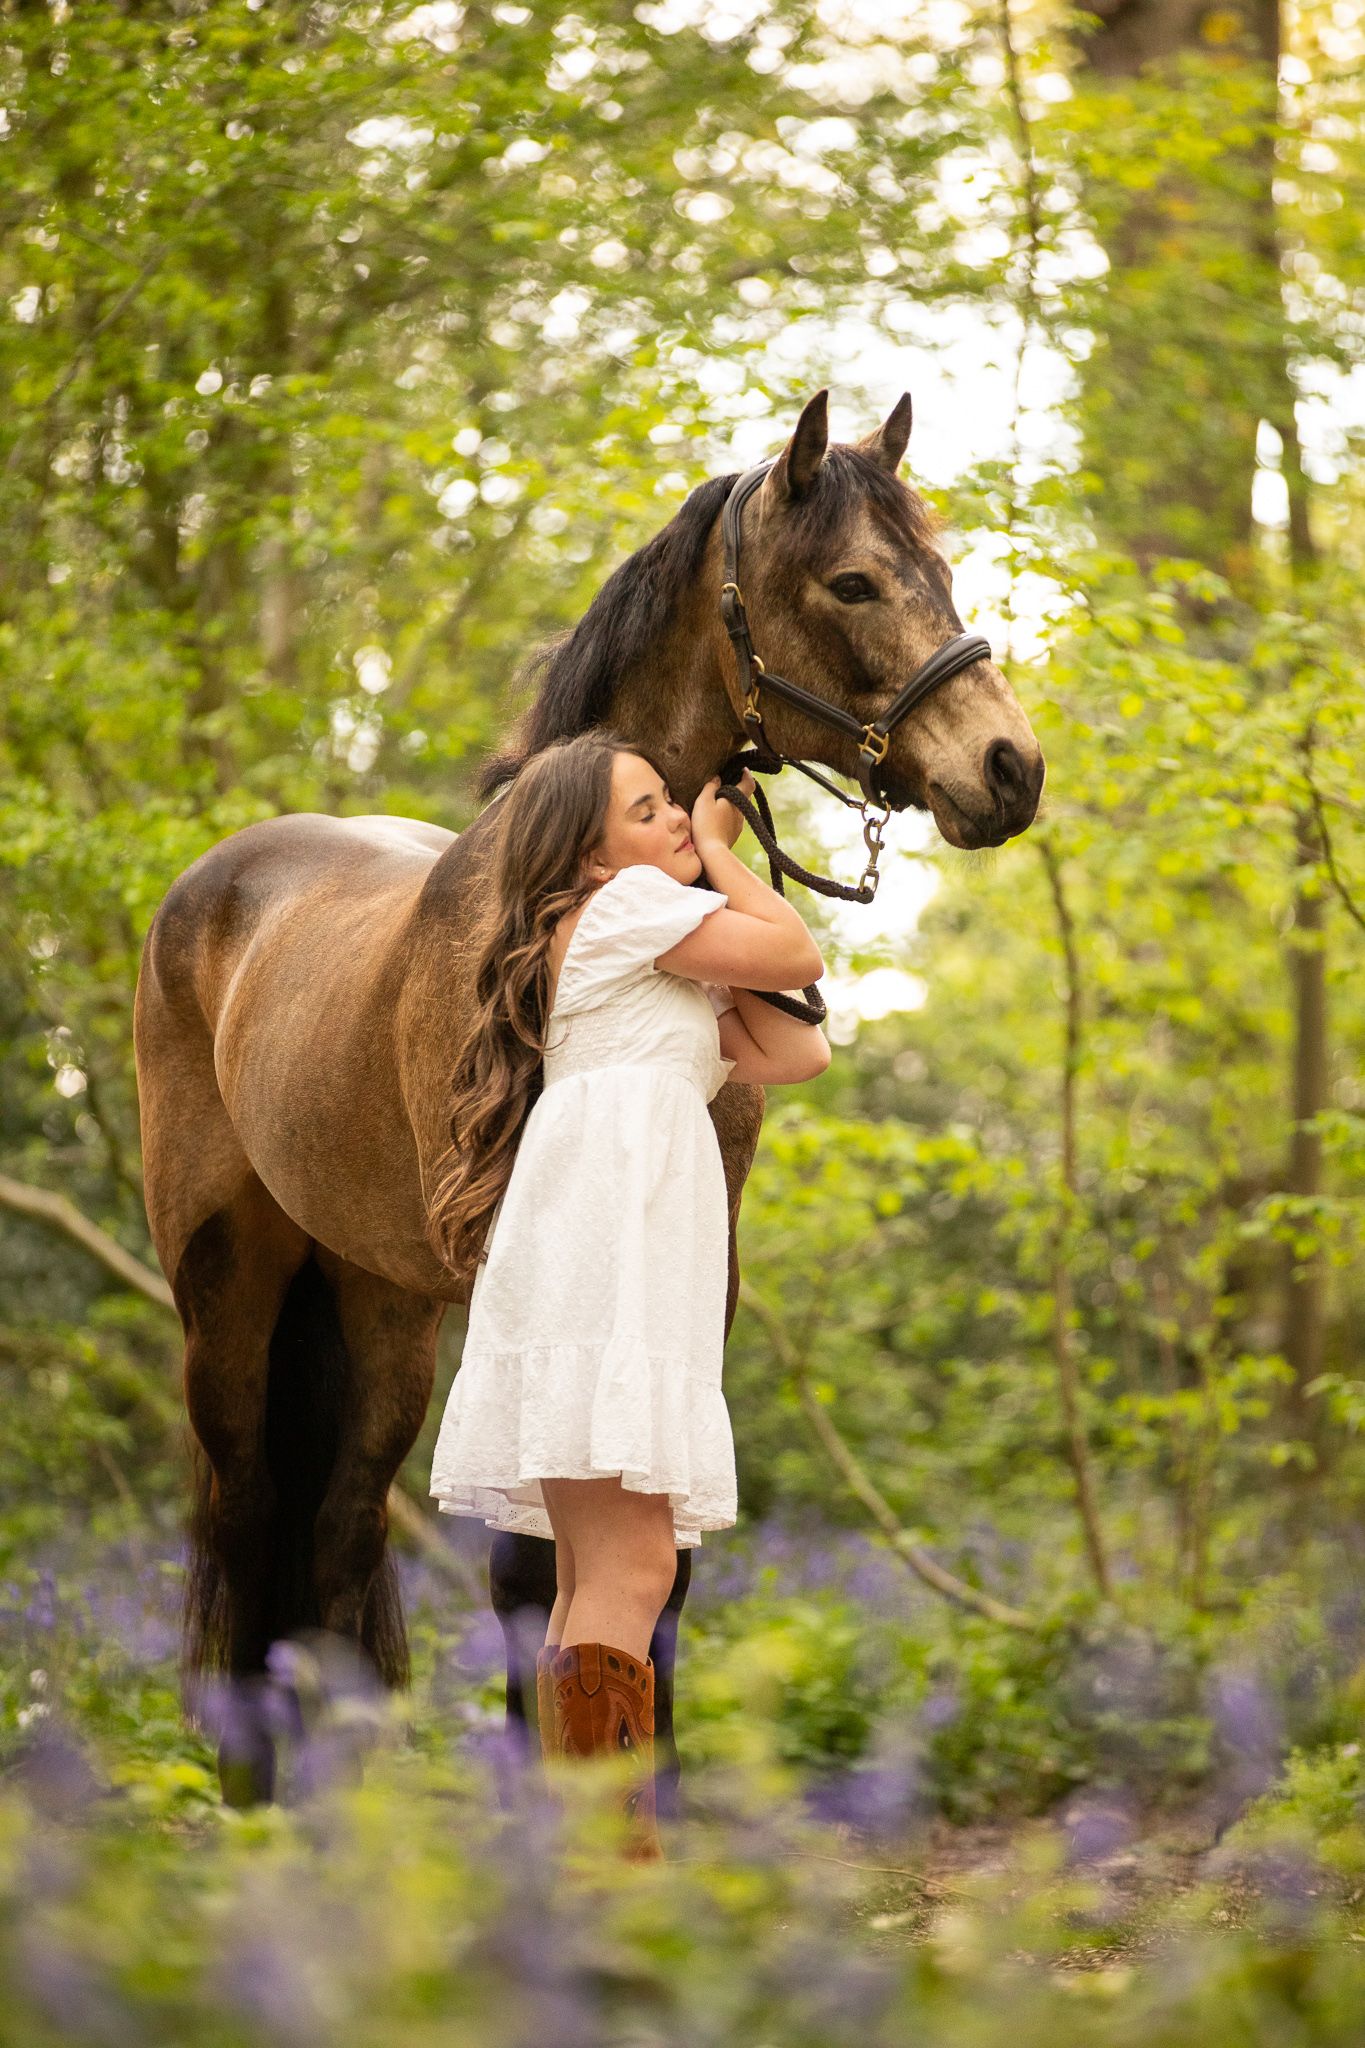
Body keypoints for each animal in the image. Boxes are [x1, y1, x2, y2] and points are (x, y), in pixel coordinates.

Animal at [133, 389, 1044, 1806]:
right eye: (852, 581)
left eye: (938, 570)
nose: (1010, 768)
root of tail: (214, 885)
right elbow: (527, 1566)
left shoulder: (695, 1281)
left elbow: (657, 1570)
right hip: (228, 1280)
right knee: (246, 1509)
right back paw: (256, 1801)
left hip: (377, 1304)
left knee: (337, 1529)